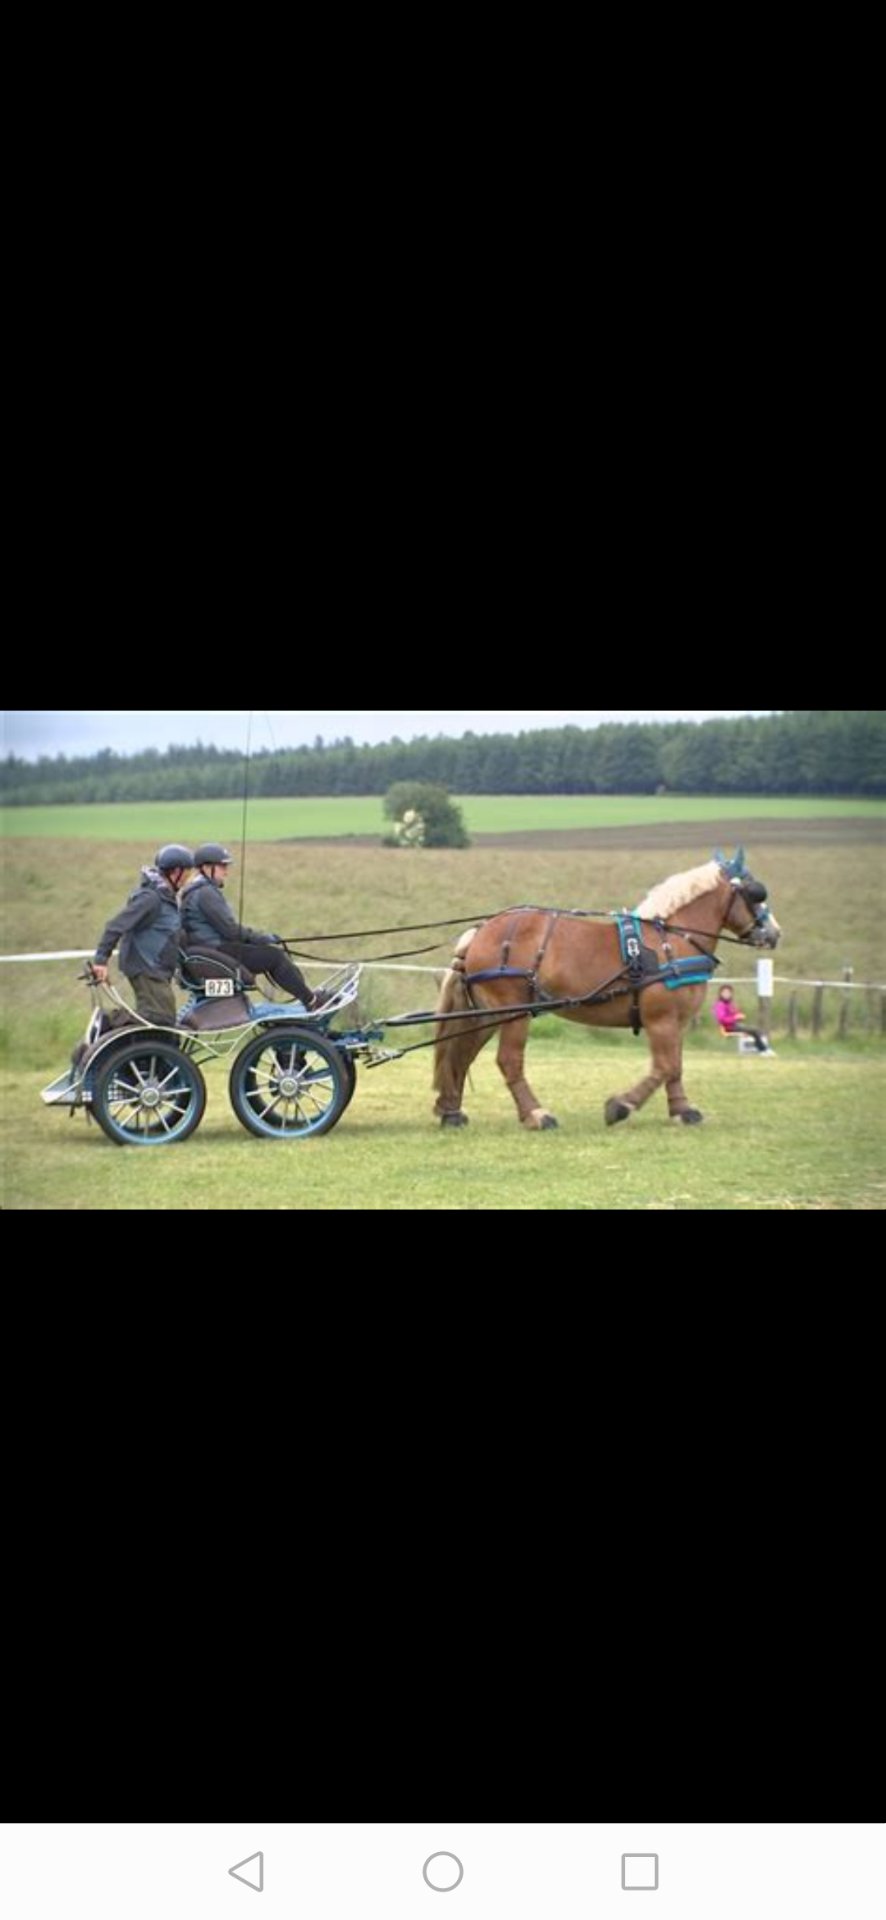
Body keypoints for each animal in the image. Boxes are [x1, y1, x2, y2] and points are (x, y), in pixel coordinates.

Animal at [432, 849, 781, 1132]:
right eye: (755, 892)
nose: (774, 933)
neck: (672, 941)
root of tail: (480, 932)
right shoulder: (661, 1020)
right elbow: (665, 1066)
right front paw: (620, 1106)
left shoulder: (677, 1023)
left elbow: (675, 1067)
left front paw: (682, 1110)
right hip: (514, 1012)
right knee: (507, 1060)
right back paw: (536, 1114)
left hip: (488, 1014)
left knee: (461, 1054)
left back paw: (451, 1112)